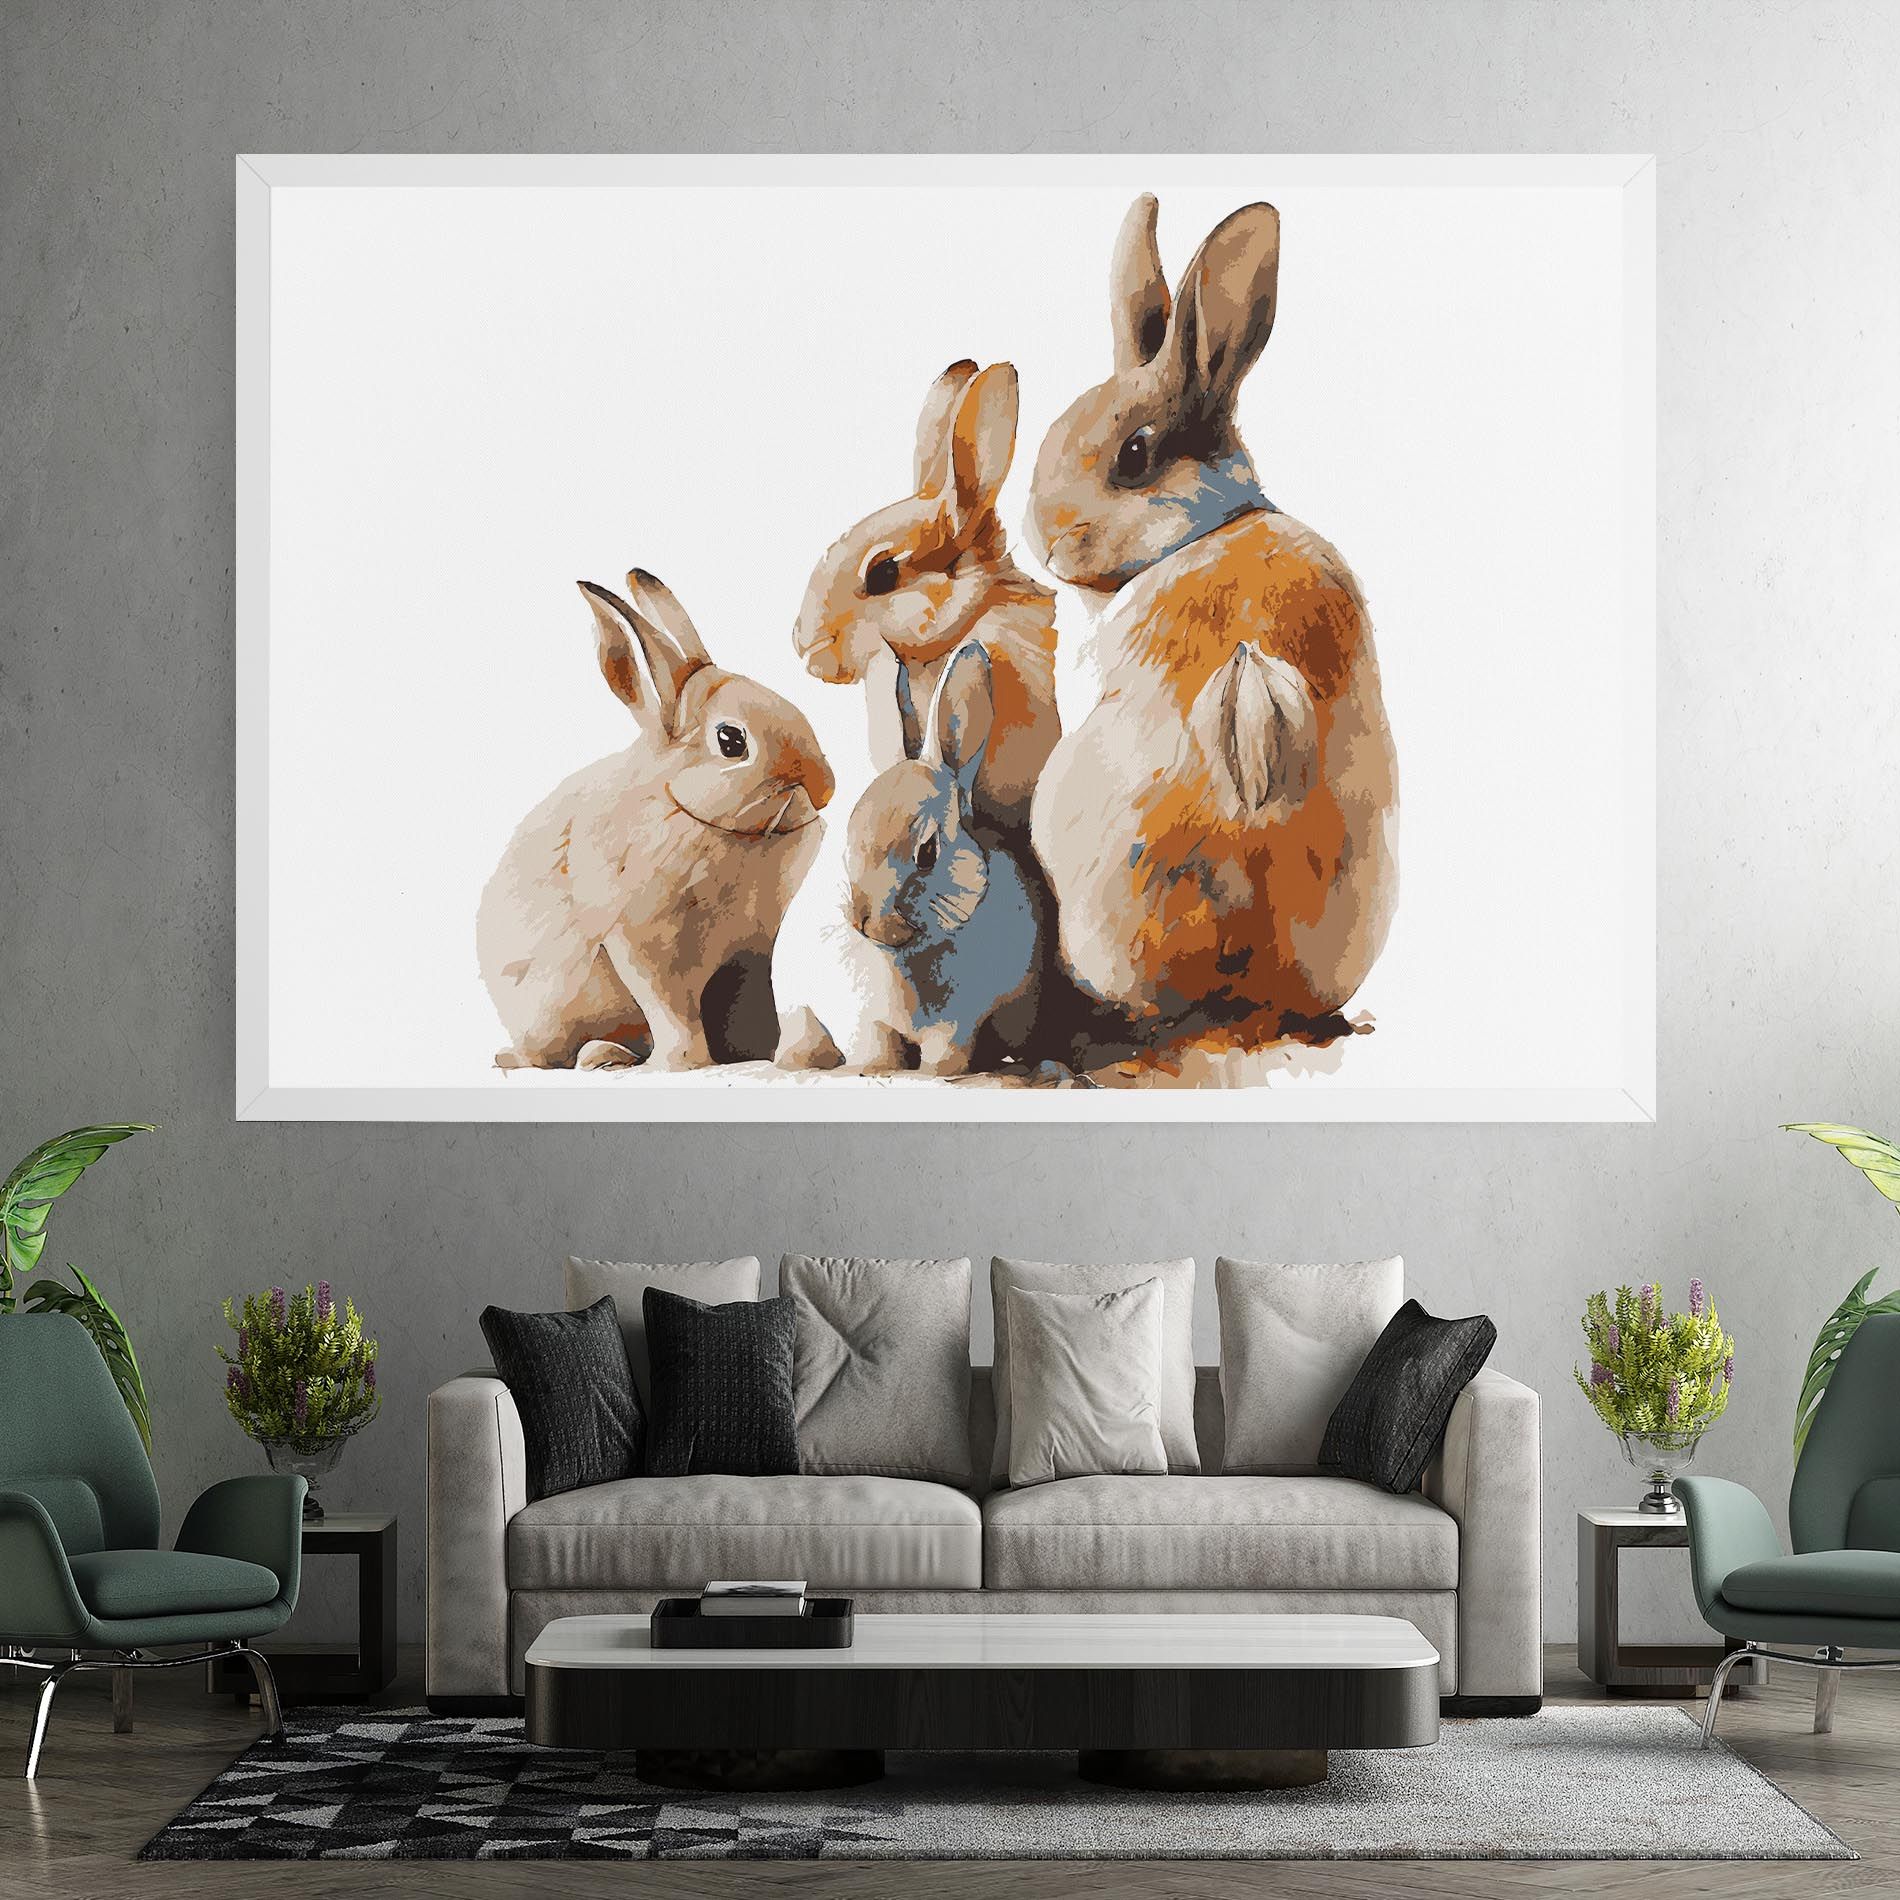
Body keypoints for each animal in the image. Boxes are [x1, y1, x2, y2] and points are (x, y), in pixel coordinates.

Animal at [478, 570, 835, 1073]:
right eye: (731, 740)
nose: (825, 787)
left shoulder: (749, 951)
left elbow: (748, 1003)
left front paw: (758, 1054)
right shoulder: (645, 945)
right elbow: (671, 1007)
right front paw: (687, 1063)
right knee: (548, 1053)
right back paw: (598, 1056)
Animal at [842, 640, 1044, 1078]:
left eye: (928, 852)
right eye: (850, 837)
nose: (866, 922)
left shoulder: (956, 1025)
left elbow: (944, 1056)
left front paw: (934, 1075)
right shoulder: (876, 1022)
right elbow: (881, 1046)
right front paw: (874, 1069)